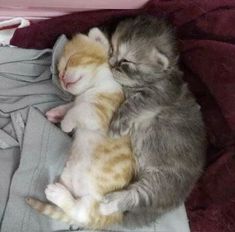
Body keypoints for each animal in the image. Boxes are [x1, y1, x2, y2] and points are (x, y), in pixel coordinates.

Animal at [25, 28, 135, 229]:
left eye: (71, 60)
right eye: (59, 70)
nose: (61, 77)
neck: (95, 86)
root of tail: (115, 218)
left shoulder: (102, 115)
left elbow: (78, 110)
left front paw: (66, 123)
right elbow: (73, 105)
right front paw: (57, 113)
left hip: (97, 205)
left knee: (81, 213)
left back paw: (57, 194)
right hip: (69, 178)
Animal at [100, 14, 207, 227]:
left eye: (126, 60)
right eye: (112, 49)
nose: (112, 62)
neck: (160, 77)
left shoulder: (158, 94)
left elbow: (132, 105)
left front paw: (117, 126)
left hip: (161, 182)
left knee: (136, 197)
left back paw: (109, 203)